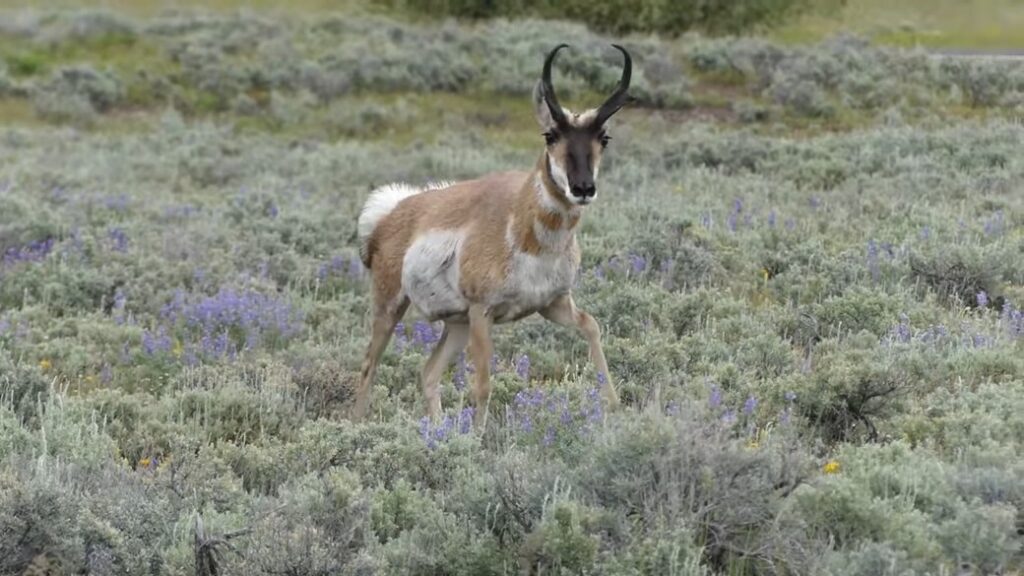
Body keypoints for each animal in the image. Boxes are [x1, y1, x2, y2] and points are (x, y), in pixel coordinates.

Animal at [354, 42, 630, 424]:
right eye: (550, 135)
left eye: (603, 137)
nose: (583, 188)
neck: (526, 231)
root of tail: (391, 212)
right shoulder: (483, 313)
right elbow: (482, 384)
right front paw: (480, 437)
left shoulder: (553, 304)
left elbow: (592, 325)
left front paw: (614, 403)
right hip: (391, 308)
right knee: (368, 369)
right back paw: (355, 425)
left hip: (456, 323)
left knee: (428, 372)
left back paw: (437, 431)